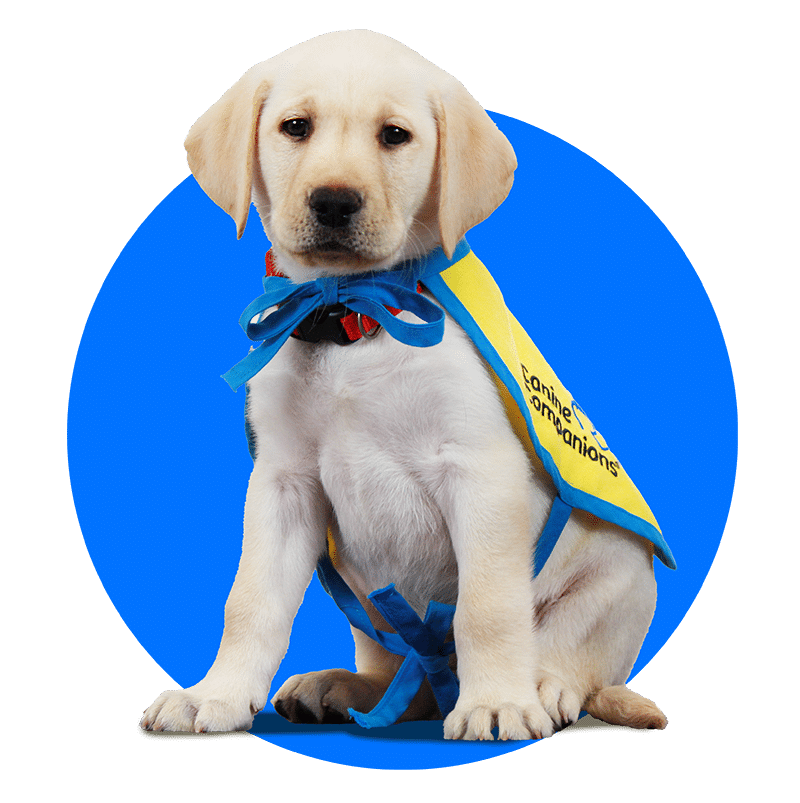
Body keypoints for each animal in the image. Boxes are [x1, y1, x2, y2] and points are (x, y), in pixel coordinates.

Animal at [141, 28, 664, 740]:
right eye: (295, 127)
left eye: (395, 136)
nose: (334, 201)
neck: (350, 316)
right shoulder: (282, 481)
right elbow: (249, 601)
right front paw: (215, 694)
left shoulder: (481, 472)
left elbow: (488, 607)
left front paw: (496, 703)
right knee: (405, 682)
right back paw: (345, 686)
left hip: (619, 576)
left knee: (572, 659)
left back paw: (539, 689)